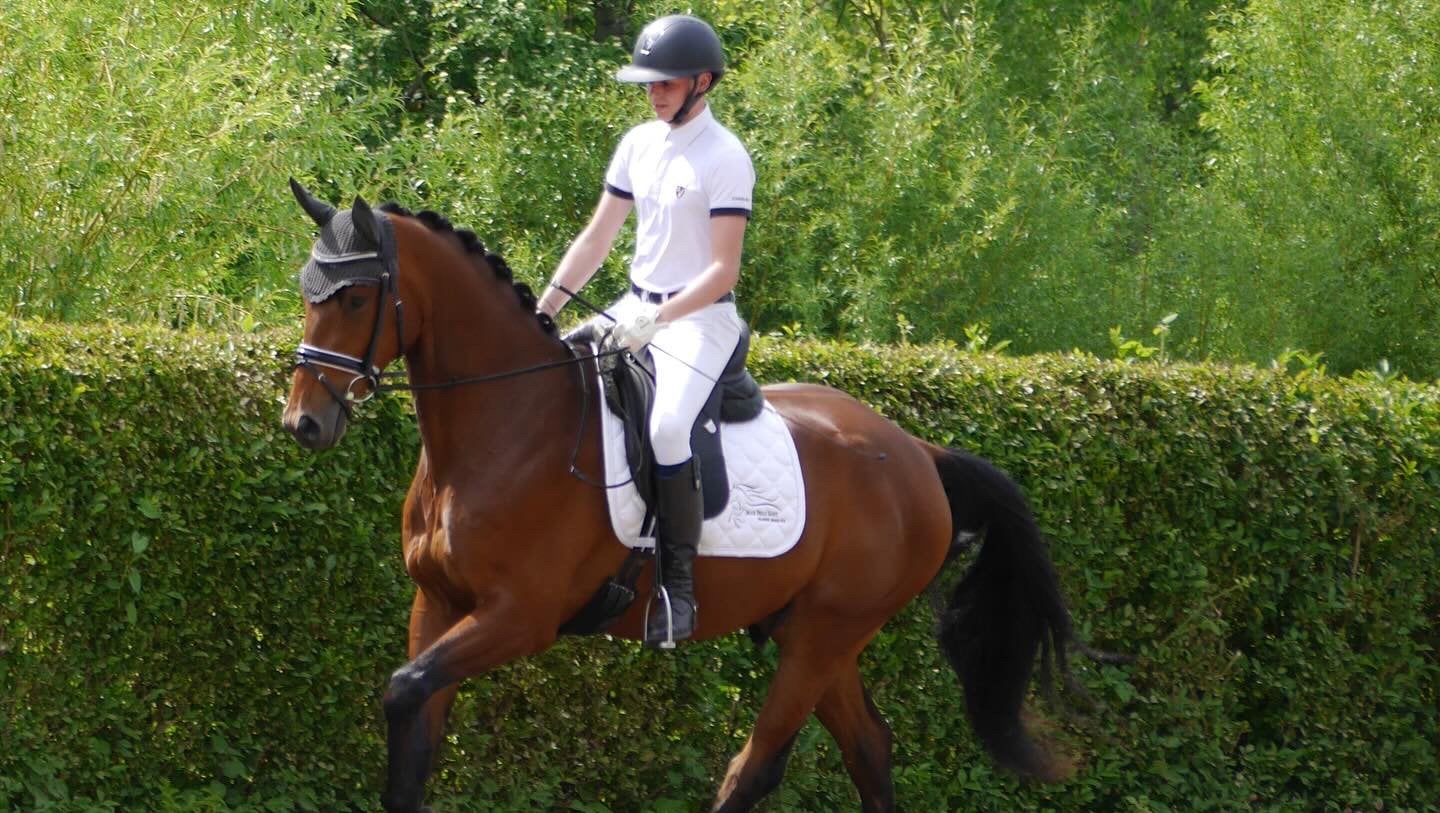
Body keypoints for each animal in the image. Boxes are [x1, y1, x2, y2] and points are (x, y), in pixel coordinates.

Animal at [280, 181, 1103, 813]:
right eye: (306, 291)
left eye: (355, 297)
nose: (304, 423)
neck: (504, 425)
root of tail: (918, 455)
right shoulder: (440, 603)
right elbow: (413, 736)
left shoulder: (519, 617)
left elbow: (403, 691)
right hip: (813, 631)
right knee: (869, 747)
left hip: (826, 633)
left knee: (758, 765)